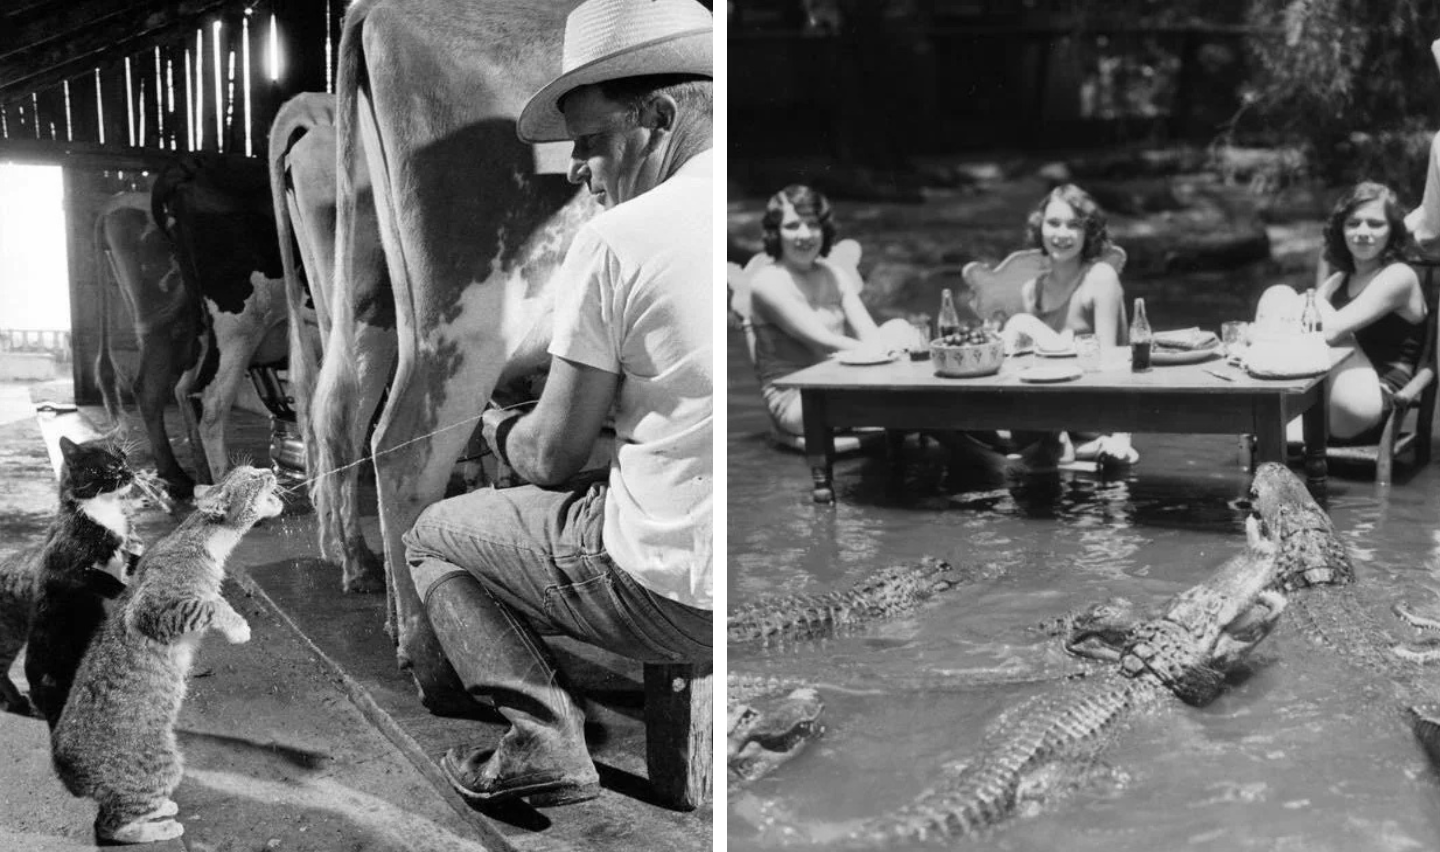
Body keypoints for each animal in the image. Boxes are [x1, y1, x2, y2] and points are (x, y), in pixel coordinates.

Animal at [51, 466, 280, 846]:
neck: (203, 541)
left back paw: (161, 810)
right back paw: (160, 826)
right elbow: (209, 604)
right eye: (251, 478)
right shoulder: (154, 610)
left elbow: (217, 599)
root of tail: (64, 770)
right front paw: (237, 628)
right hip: (162, 763)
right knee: (109, 825)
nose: (271, 469)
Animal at [150, 153, 293, 486]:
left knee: (183, 388)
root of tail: (193, 163)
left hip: (203, 323)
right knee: (212, 401)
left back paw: (203, 478)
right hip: (240, 324)